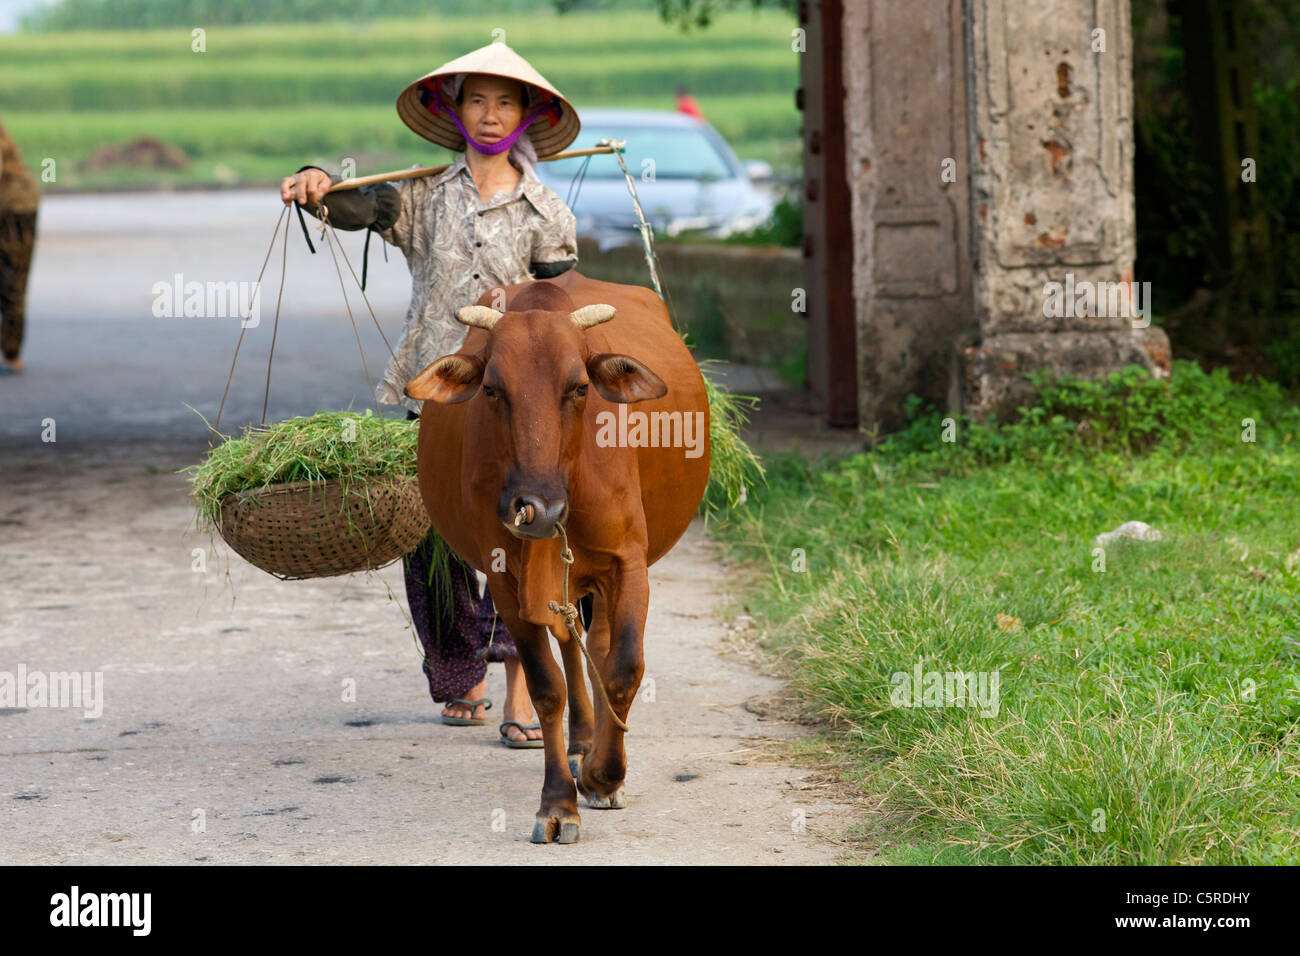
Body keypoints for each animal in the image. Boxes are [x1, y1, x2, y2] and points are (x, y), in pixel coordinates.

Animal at [405, 265, 712, 842]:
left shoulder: (627, 564)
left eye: (579, 388)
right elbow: (548, 685)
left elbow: (624, 667)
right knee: (573, 647)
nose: (538, 507)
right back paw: (581, 742)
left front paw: (605, 777)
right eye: (493, 389)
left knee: (601, 646)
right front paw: (558, 803)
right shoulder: (508, 580)